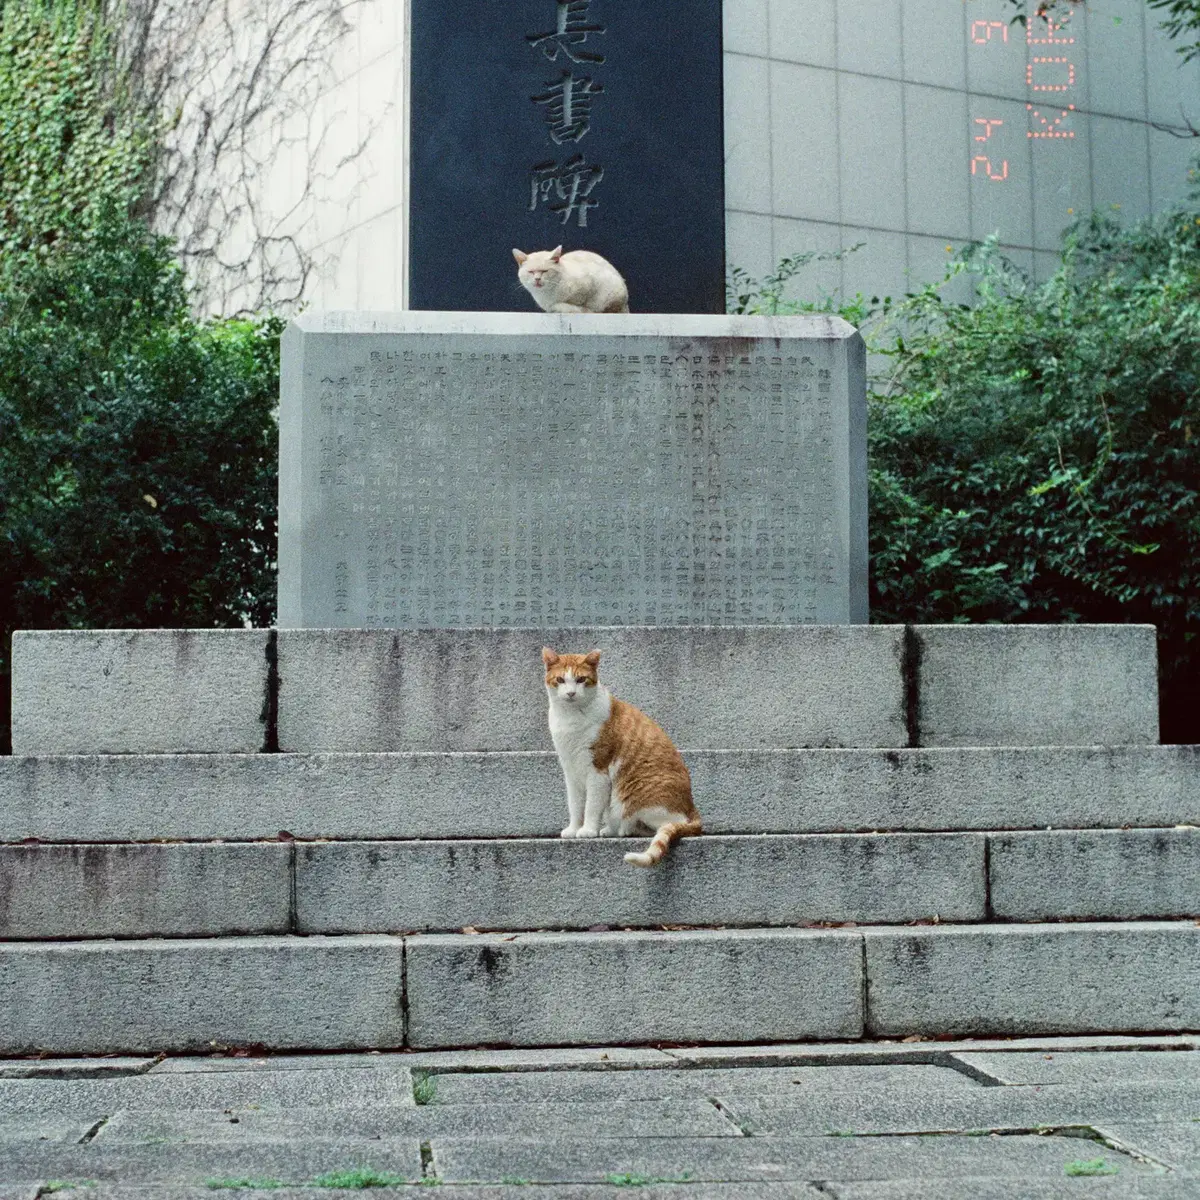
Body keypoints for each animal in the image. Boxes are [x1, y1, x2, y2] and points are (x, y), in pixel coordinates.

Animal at [540, 648, 700, 864]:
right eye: (560, 680)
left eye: (581, 679)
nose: (571, 693)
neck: (569, 719)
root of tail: (692, 809)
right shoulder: (571, 772)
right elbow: (575, 805)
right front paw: (574, 829)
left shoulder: (597, 771)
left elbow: (591, 806)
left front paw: (587, 830)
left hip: (633, 795)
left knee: (662, 825)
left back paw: (624, 829)